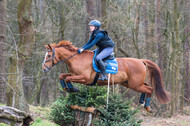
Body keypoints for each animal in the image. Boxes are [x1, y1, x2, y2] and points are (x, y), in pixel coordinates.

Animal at [42, 40, 171, 112]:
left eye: (49, 56)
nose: (44, 69)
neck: (77, 59)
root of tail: (141, 61)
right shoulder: (75, 74)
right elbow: (62, 75)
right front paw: (66, 87)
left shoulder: (84, 78)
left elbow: (68, 78)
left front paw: (72, 89)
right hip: (130, 83)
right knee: (147, 85)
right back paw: (142, 101)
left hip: (135, 84)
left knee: (149, 88)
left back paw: (147, 107)